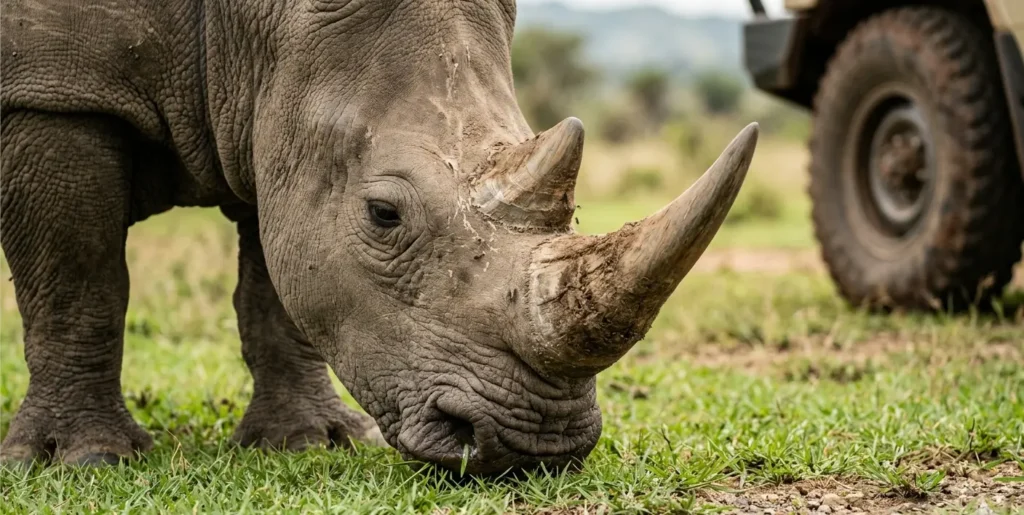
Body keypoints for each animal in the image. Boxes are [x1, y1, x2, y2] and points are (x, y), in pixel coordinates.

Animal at [0, 0, 758, 475]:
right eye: (384, 215)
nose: (536, 446)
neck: (248, 24)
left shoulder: (270, 113)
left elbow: (277, 284)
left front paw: (310, 445)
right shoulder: (53, 89)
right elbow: (79, 281)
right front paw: (87, 458)